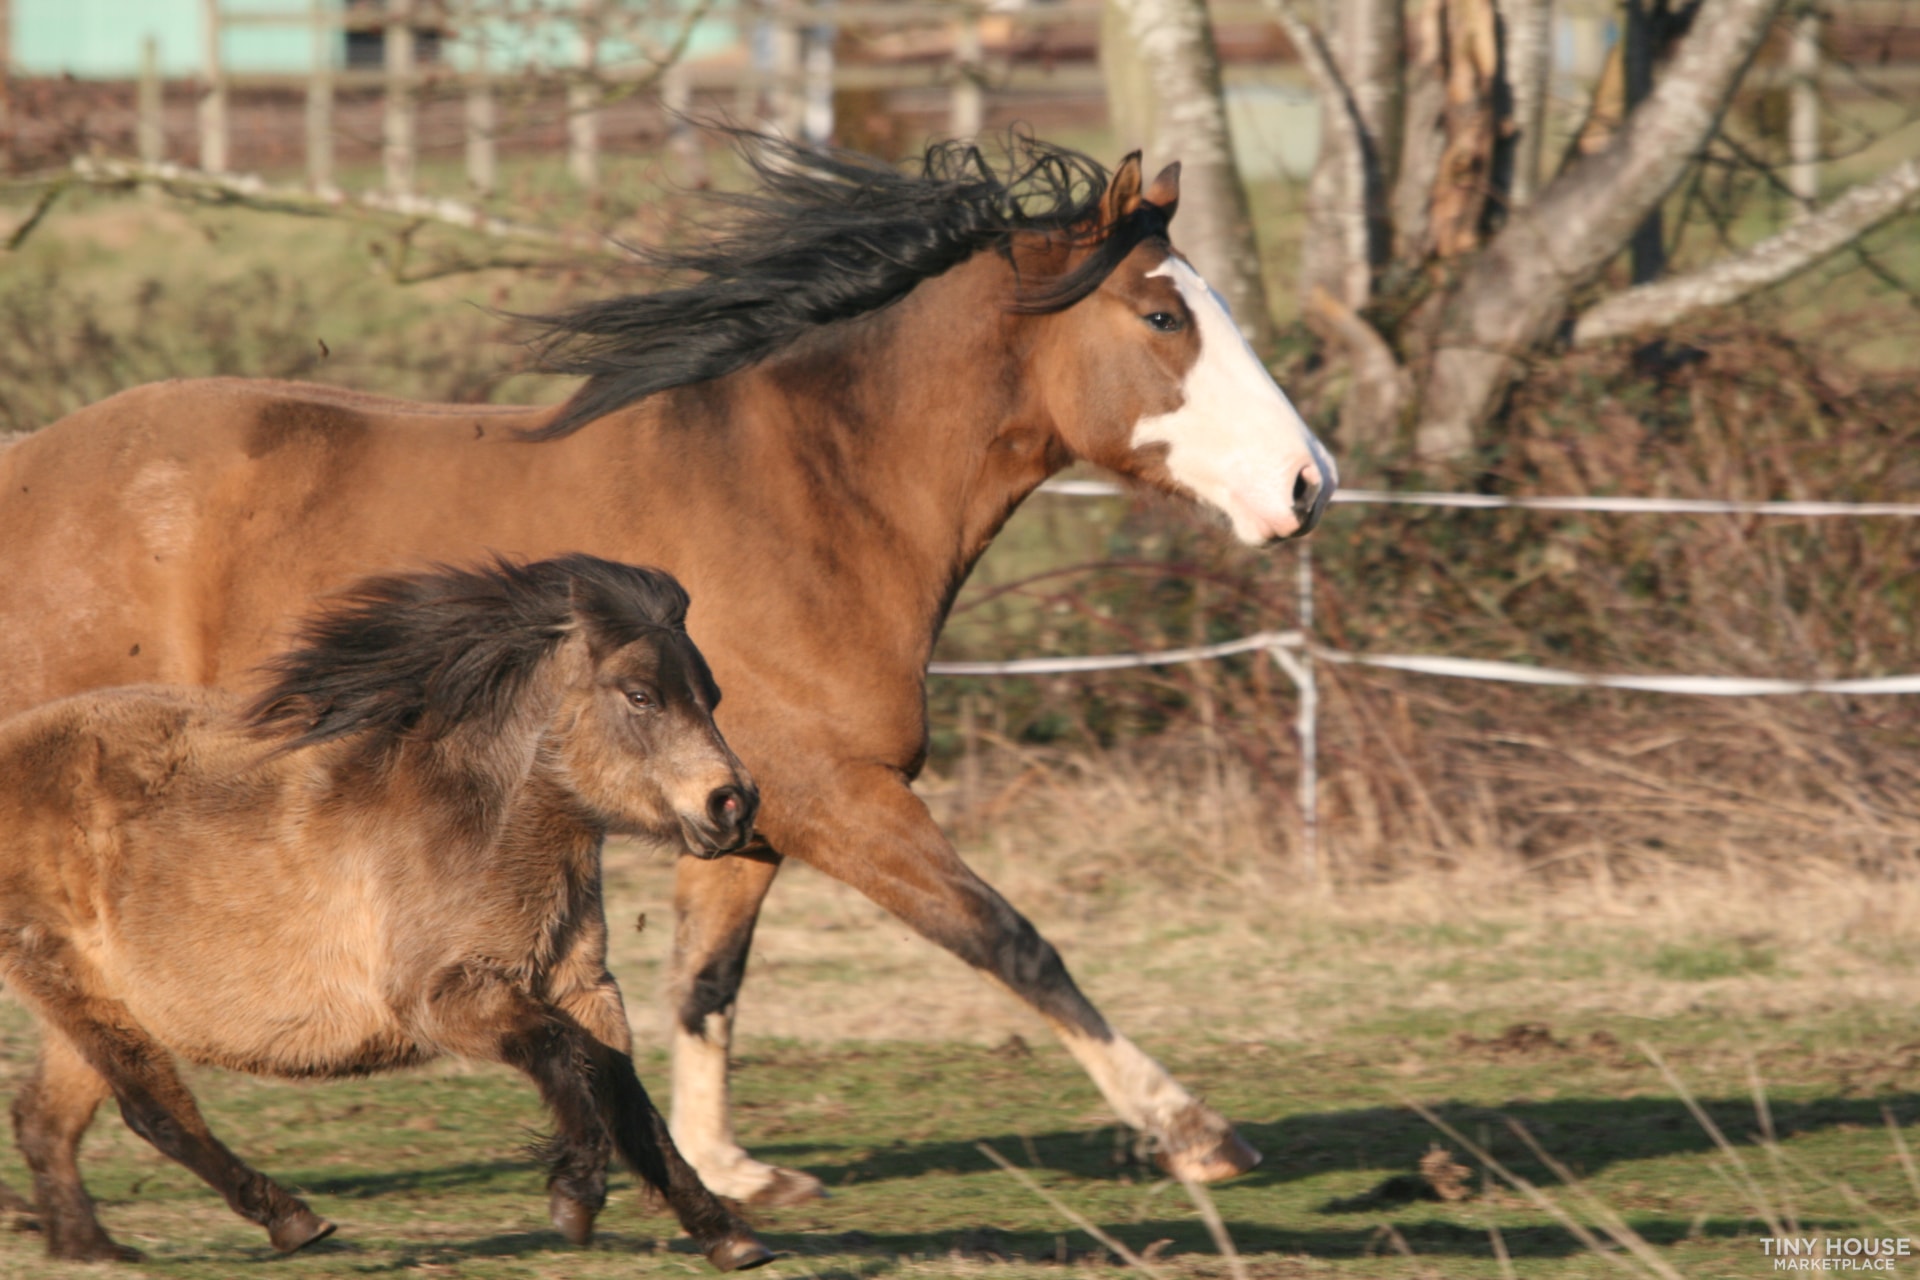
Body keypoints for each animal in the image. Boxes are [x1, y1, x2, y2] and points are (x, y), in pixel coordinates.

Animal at [0, 555, 772, 1270]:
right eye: (641, 695)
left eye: (711, 696)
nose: (733, 805)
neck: (481, 830)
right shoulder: (440, 1001)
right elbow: (566, 1056)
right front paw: (576, 1197)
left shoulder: (585, 989)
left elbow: (628, 1099)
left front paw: (730, 1236)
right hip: (70, 982)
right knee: (150, 1108)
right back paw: (291, 1221)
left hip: (99, 999)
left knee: (47, 1111)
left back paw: (89, 1246)